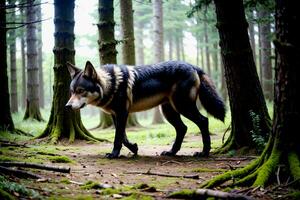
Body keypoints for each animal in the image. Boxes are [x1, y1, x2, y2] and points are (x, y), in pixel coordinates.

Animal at [66, 60, 225, 158]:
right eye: (72, 91)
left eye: (80, 91)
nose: (67, 106)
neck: (111, 83)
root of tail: (192, 66)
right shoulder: (116, 115)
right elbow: (123, 137)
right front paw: (134, 148)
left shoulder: (122, 113)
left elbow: (118, 138)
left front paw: (114, 154)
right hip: (169, 112)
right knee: (183, 128)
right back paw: (171, 152)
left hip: (183, 107)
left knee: (203, 121)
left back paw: (204, 152)